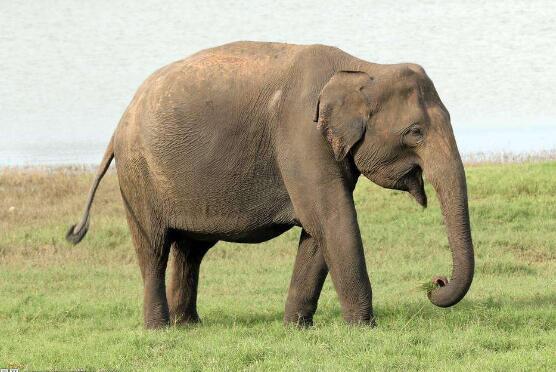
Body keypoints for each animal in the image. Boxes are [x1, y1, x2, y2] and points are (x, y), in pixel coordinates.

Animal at [65, 41, 474, 328]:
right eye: (415, 132)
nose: (435, 283)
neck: (364, 67)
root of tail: (121, 119)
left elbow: (318, 231)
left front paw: (296, 327)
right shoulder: (301, 135)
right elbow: (332, 218)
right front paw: (364, 328)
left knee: (190, 250)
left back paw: (190, 325)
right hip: (138, 176)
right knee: (154, 248)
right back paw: (160, 328)